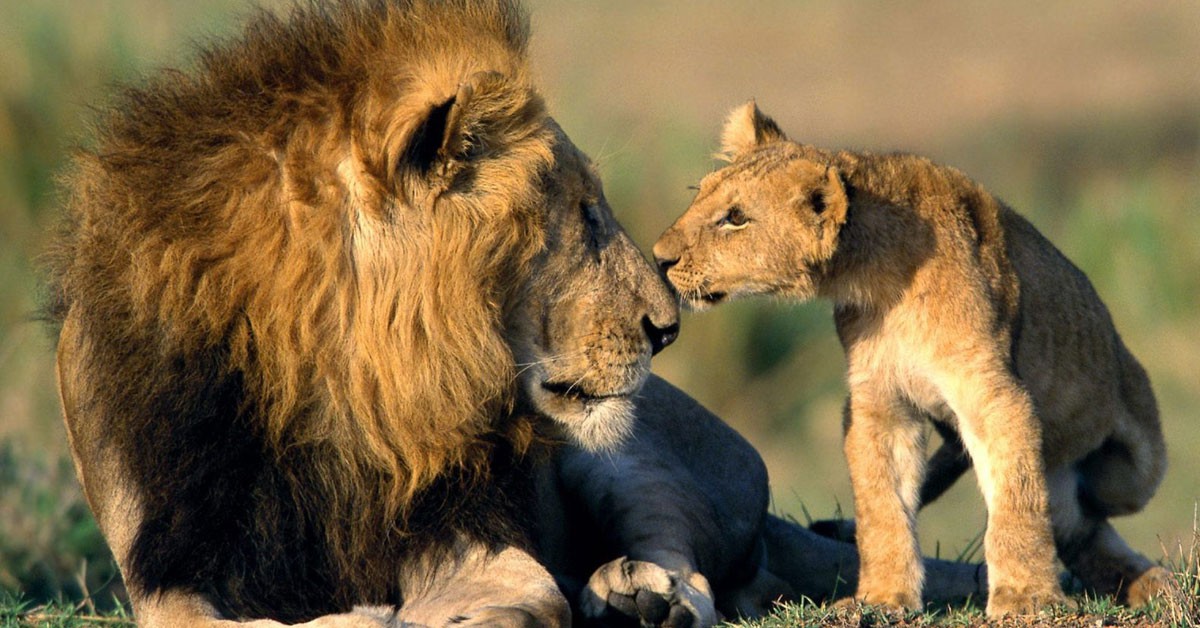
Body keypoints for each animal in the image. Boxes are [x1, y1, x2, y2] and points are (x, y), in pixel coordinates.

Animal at [653, 101, 1172, 617]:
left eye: (735, 218)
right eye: (699, 196)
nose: (658, 258)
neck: (878, 279)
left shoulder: (994, 394)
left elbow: (1017, 500)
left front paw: (1025, 597)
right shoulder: (879, 403)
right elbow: (883, 507)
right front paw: (883, 597)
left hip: (1133, 470)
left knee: (1087, 513)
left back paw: (1153, 581)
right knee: (1076, 527)